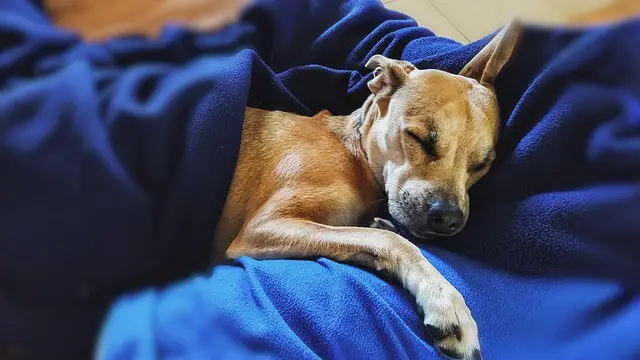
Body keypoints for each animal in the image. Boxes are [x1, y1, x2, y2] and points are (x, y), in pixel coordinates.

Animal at [212, 20, 524, 360]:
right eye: (418, 138)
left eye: (482, 164)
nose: (448, 220)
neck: (356, 156)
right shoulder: (263, 225)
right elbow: (391, 240)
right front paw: (444, 298)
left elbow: (374, 236)